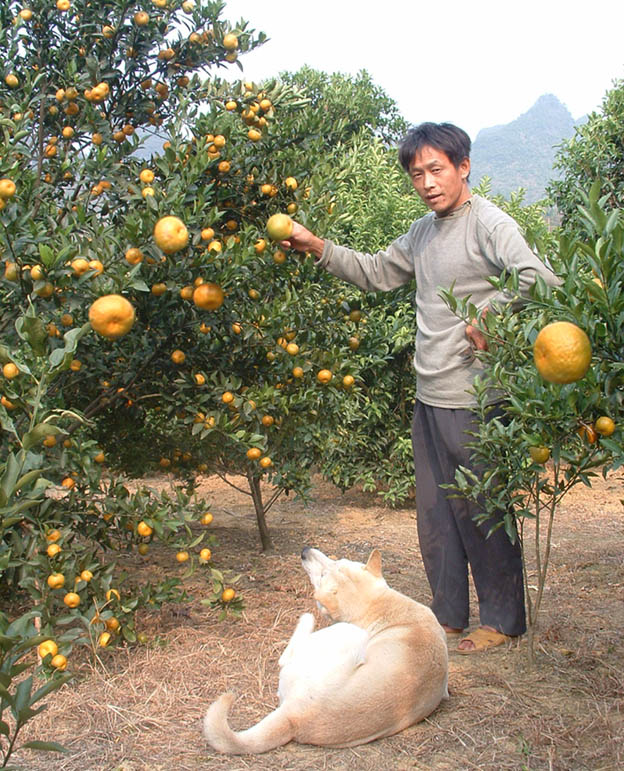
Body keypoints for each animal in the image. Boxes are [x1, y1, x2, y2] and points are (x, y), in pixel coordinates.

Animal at [205, 548, 448, 752]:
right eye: (339, 560)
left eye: (322, 577)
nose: (305, 551)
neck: (379, 606)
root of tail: (294, 717)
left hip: (347, 634)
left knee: (288, 653)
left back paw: (306, 619)